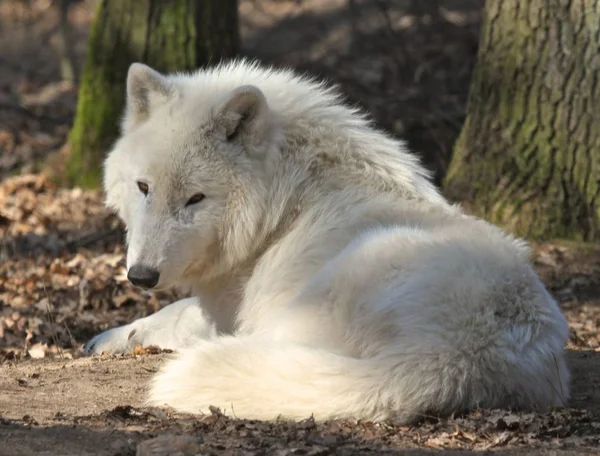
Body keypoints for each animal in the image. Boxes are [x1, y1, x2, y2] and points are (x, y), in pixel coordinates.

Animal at [83, 60, 568, 424]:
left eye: (195, 199)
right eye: (144, 187)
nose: (141, 276)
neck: (283, 202)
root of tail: (457, 356)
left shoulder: (231, 308)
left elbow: (181, 314)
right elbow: (172, 311)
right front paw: (107, 337)